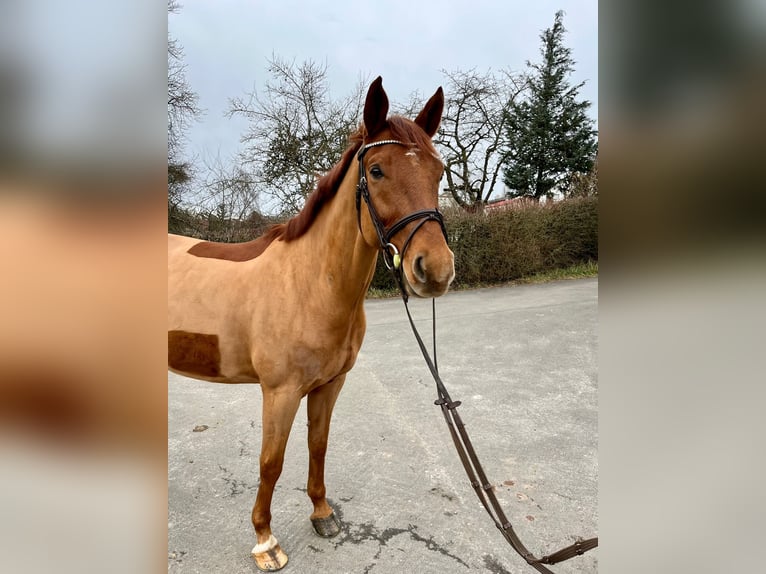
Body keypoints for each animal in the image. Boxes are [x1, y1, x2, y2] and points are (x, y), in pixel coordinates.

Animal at [168, 79, 456, 572]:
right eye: (376, 171)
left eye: (439, 172)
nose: (434, 269)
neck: (309, 283)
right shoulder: (279, 392)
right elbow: (271, 461)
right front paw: (265, 542)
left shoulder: (329, 384)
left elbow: (317, 445)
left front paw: (322, 514)